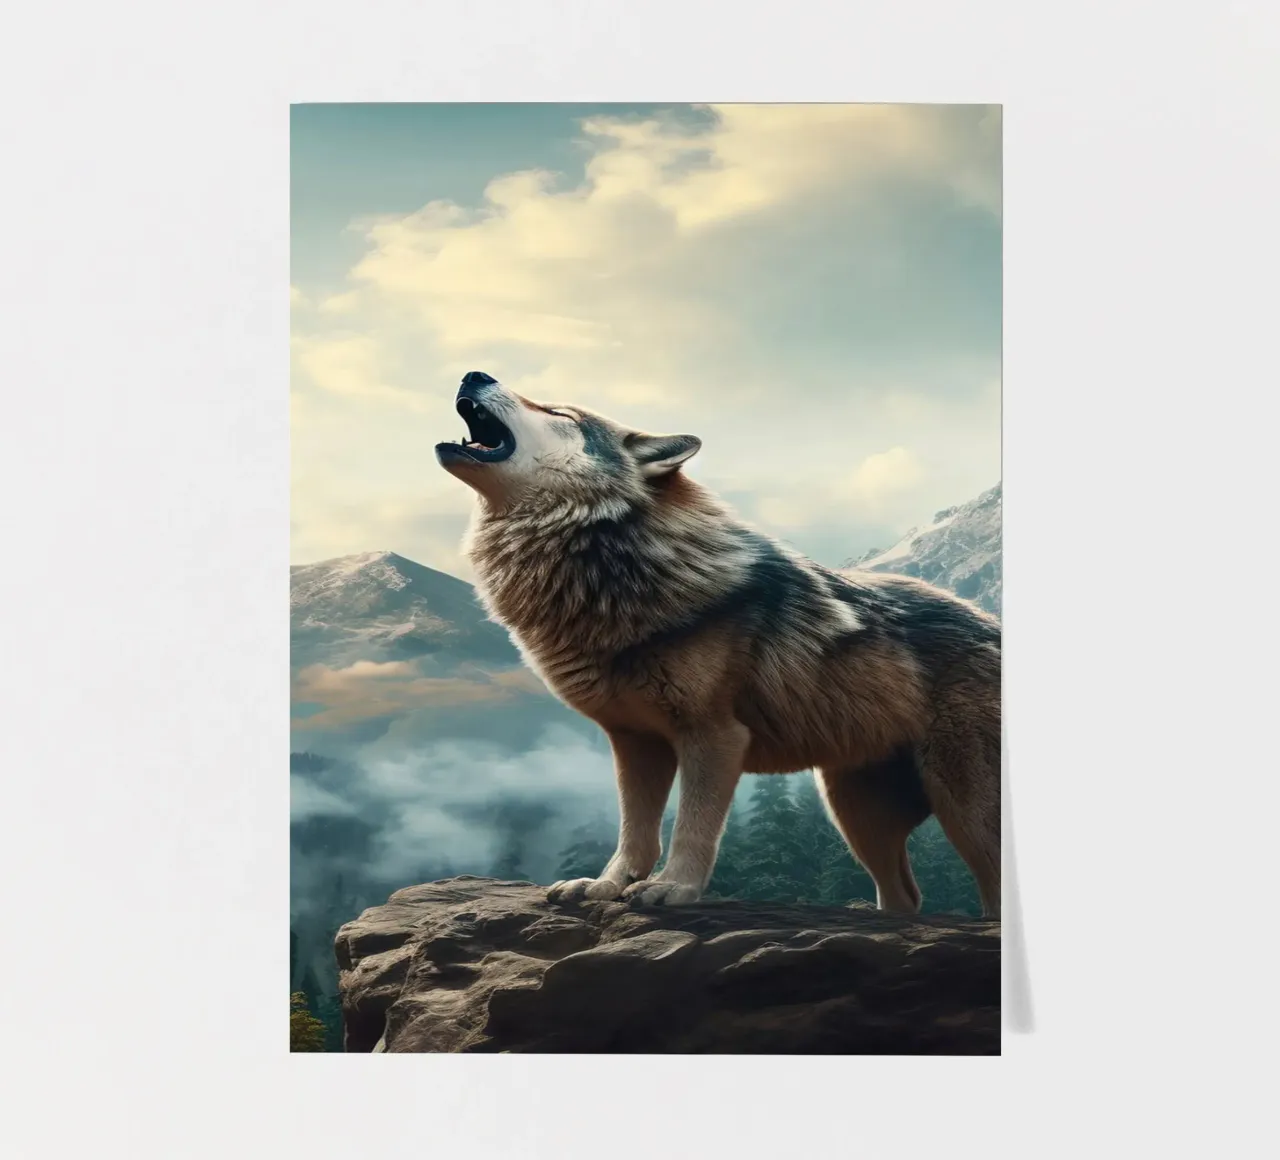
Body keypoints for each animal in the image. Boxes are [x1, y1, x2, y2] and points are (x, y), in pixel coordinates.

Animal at [437, 371, 1001, 916]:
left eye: (558, 412)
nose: (472, 373)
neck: (611, 566)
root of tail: (992, 624)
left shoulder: (714, 736)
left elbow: (694, 826)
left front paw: (675, 888)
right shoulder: (635, 743)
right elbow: (634, 833)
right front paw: (604, 887)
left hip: (966, 814)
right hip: (856, 812)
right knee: (905, 897)